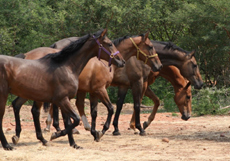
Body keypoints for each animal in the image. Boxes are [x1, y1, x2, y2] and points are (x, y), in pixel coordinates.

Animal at [11, 32, 162, 143]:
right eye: (150, 46)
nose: (158, 65)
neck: (103, 62)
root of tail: (26, 55)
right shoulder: (102, 89)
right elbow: (113, 108)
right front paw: (103, 131)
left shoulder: (94, 91)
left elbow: (94, 112)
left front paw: (94, 132)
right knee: (34, 110)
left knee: (17, 105)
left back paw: (19, 135)